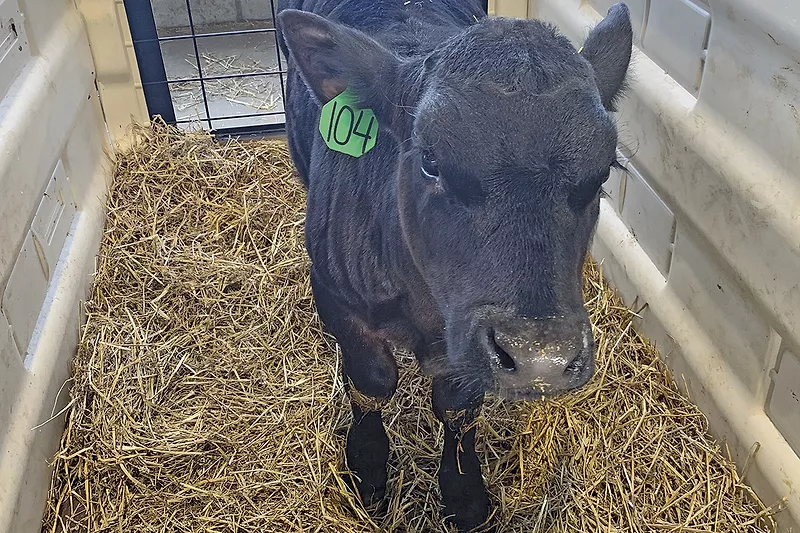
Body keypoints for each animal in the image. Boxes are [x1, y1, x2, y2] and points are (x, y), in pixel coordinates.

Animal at [275, 2, 632, 530]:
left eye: (603, 170)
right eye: (430, 161)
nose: (540, 358)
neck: (423, 310)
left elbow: (458, 408)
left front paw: (465, 494)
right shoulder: (339, 298)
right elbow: (371, 383)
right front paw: (366, 468)